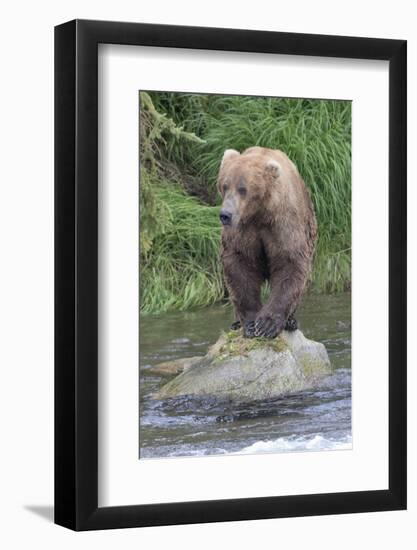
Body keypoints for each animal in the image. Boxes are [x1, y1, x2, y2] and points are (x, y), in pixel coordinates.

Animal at [218, 144, 316, 338]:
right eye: (224, 185)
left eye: (242, 188)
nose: (226, 215)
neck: (259, 213)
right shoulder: (242, 230)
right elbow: (240, 264)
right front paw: (250, 324)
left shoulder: (282, 223)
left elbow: (290, 262)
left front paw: (266, 325)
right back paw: (235, 323)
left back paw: (291, 321)